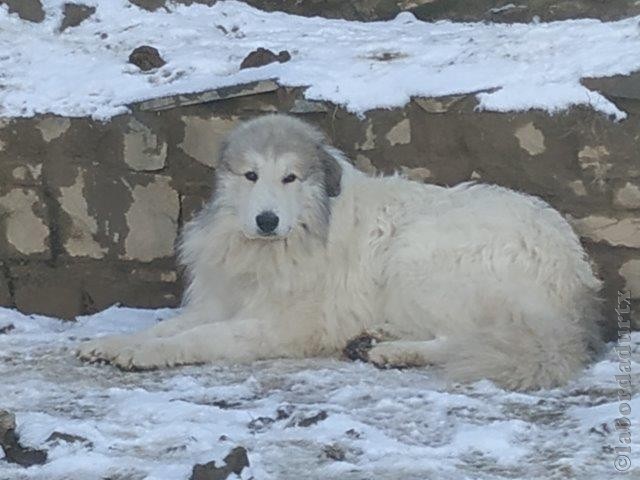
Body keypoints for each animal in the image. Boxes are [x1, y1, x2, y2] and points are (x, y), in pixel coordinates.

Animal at [77, 115, 604, 390]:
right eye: (251, 176)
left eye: (290, 177)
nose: (266, 220)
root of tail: (574, 271)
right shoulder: (222, 302)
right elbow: (169, 325)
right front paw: (113, 343)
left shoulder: (282, 325)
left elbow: (200, 338)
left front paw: (144, 354)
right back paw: (375, 337)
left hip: (417, 255)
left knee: (463, 338)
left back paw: (392, 352)